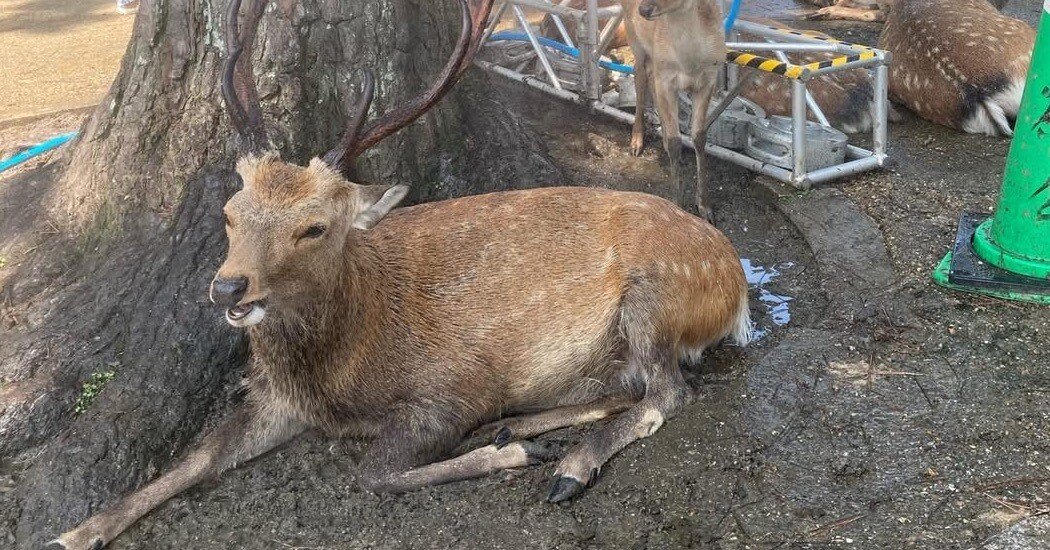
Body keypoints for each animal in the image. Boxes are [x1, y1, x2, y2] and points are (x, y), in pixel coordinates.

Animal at [619, 0, 727, 222]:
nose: (644, 10)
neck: (689, 62)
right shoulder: (666, 80)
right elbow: (675, 142)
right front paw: (677, 206)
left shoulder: (708, 79)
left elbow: (699, 137)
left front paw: (705, 207)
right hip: (633, 36)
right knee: (639, 76)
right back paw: (636, 142)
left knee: (649, 75)